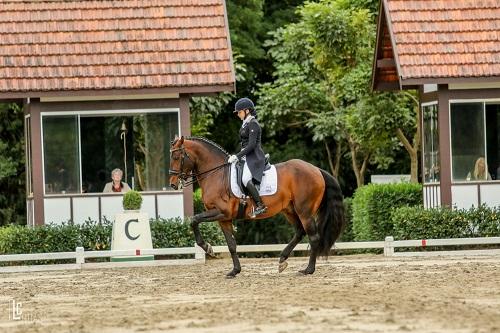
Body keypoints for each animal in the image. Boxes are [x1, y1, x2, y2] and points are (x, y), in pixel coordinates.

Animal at [169, 136, 344, 276]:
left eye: (177, 157)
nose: (172, 184)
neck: (216, 174)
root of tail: (316, 170)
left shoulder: (221, 212)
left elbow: (194, 220)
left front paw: (207, 248)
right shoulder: (224, 218)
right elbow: (231, 245)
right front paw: (234, 271)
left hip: (304, 211)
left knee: (313, 237)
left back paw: (308, 270)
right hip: (290, 210)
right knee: (300, 232)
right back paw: (282, 259)